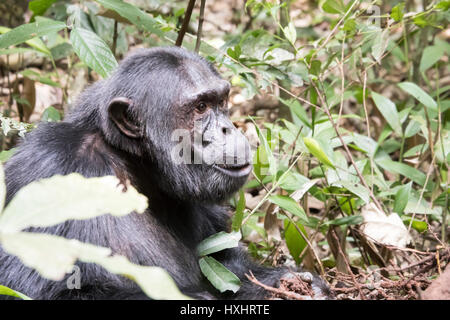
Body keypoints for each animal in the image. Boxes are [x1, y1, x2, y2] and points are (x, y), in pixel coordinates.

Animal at [0, 46, 330, 298]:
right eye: (200, 107)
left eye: (221, 101)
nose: (228, 127)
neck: (137, 170)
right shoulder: (51, 166)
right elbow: (33, 286)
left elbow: (229, 265)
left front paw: (294, 284)